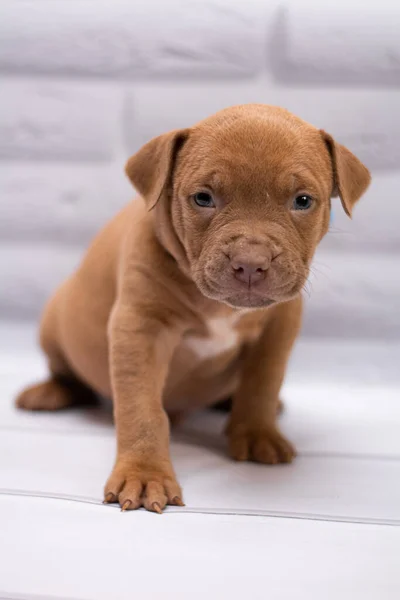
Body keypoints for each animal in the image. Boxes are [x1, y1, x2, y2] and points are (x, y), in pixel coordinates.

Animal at [16, 103, 372, 510]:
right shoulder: (140, 328)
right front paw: (144, 474)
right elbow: (142, 408)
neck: (219, 307)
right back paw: (49, 392)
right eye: (203, 198)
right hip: (53, 324)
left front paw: (258, 432)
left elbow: (263, 381)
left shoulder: (280, 325)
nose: (251, 262)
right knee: (65, 370)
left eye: (302, 201)